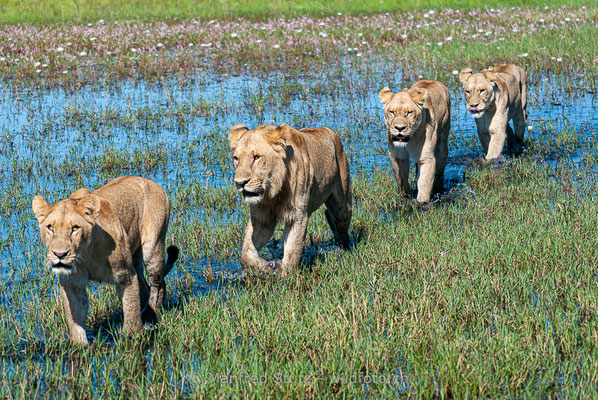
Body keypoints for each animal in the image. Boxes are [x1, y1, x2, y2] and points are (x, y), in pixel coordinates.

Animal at [31, 177, 178, 346]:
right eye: (50, 227)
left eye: (75, 228)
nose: (60, 254)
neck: (86, 253)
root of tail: (150, 182)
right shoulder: (72, 283)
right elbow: (75, 317)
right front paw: (79, 346)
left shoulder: (126, 276)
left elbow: (131, 309)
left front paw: (132, 339)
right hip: (135, 258)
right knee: (146, 286)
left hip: (152, 248)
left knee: (157, 284)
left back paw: (150, 315)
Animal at [229, 123, 352, 276]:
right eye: (236, 158)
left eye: (257, 157)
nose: (240, 183)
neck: (273, 193)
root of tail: (327, 130)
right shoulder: (261, 220)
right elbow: (246, 254)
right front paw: (266, 267)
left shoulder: (297, 216)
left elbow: (292, 252)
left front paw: (285, 276)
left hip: (342, 204)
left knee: (341, 226)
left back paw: (343, 250)